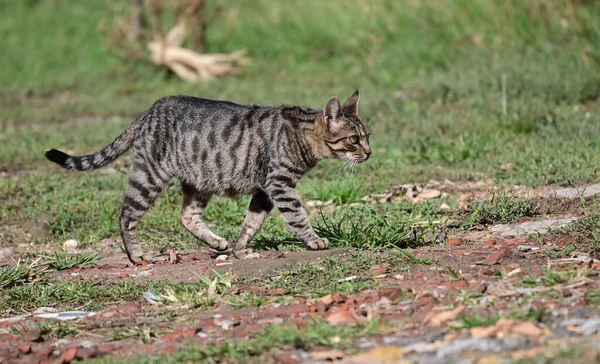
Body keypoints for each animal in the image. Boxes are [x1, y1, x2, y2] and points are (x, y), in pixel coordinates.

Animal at [44, 89, 370, 264]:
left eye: (368, 136)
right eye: (353, 140)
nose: (368, 153)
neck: (302, 136)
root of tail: (149, 110)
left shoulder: (264, 191)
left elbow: (252, 221)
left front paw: (240, 248)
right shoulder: (279, 185)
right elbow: (298, 216)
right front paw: (313, 241)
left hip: (200, 180)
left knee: (186, 216)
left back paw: (217, 243)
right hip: (149, 177)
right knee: (126, 215)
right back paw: (137, 256)